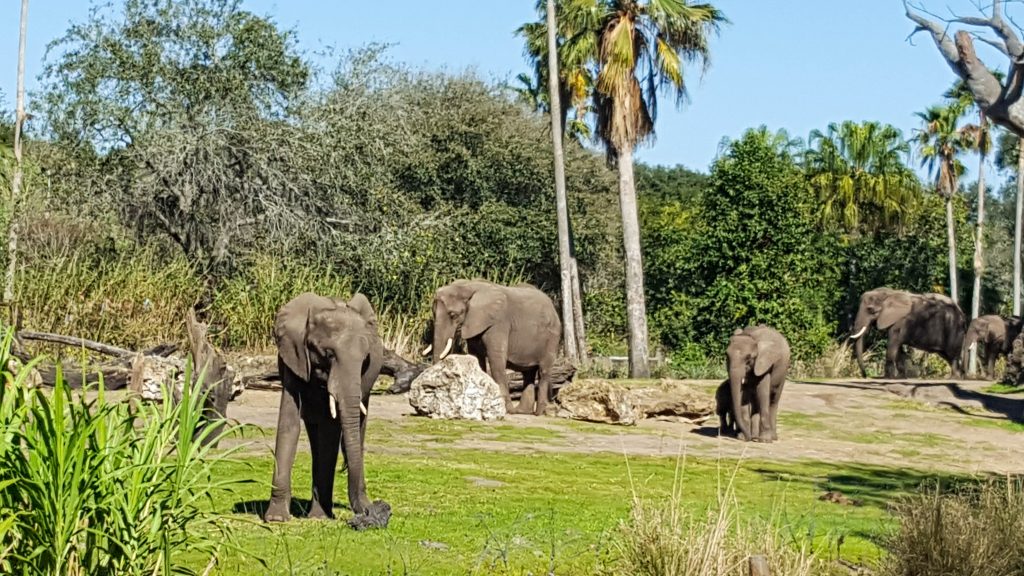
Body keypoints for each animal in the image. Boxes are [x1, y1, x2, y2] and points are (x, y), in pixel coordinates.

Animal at [264, 289, 391, 528]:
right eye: (329, 355)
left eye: (365, 360)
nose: (371, 512)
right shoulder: (294, 359)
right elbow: (289, 424)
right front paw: (276, 519)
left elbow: (329, 431)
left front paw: (319, 517)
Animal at [425, 278, 569, 412]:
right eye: (433, 313)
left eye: (453, 315)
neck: (469, 286)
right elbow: (476, 358)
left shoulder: (498, 323)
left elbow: (496, 361)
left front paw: (505, 409)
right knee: (528, 373)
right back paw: (522, 411)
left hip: (552, 336)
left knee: (543, 370)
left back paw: (539, 412)